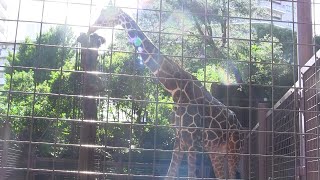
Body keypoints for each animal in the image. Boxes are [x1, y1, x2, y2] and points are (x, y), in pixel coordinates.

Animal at [89, 5, 245, 179]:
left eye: (105, 14)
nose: (91, 28)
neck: (174, 88)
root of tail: (241, 128)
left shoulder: (191, 138)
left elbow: (191, 175)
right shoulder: (179, 138)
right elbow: (170, 174)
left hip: (234, 150)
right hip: (216, 150)